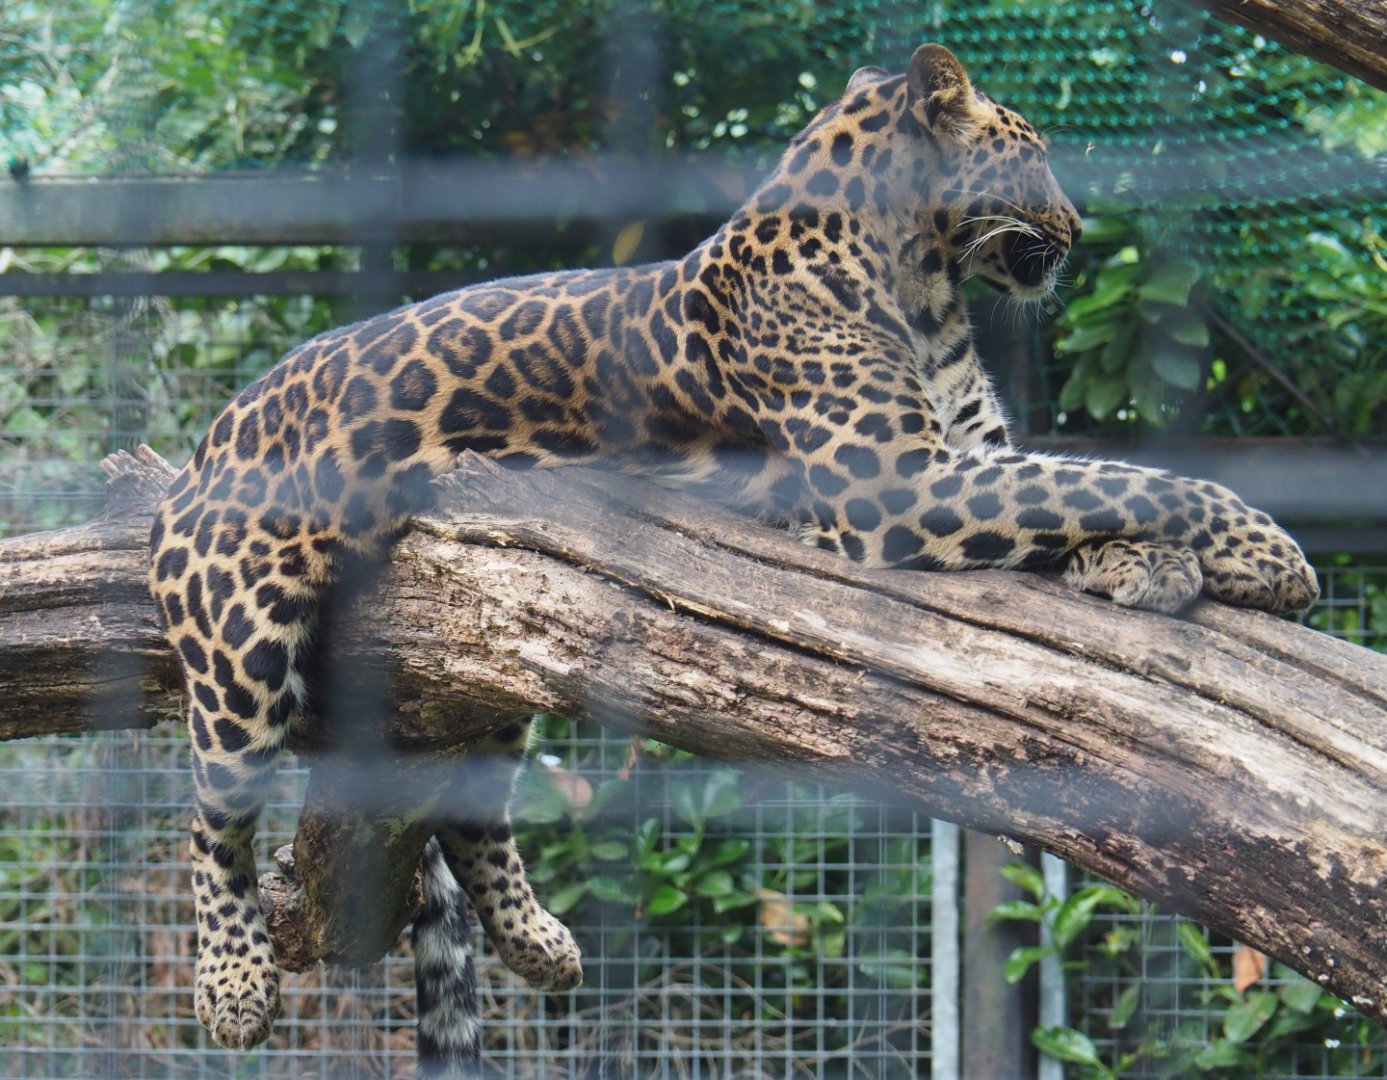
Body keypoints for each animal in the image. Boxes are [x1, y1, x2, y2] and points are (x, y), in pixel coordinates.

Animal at [147, 42, 1318, 1072]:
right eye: (1029, 153)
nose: (1076, 226)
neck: (923, 283)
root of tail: (207, 441)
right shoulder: (898, 486)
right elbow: (1110, 477)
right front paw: (1265, 554)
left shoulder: (966, 459)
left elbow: (1075, 484)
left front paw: (1150, 567)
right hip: (239, 637)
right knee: (211, 816)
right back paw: (233, 986)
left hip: (473, 653)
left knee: (471, 808)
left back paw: (540, 941)